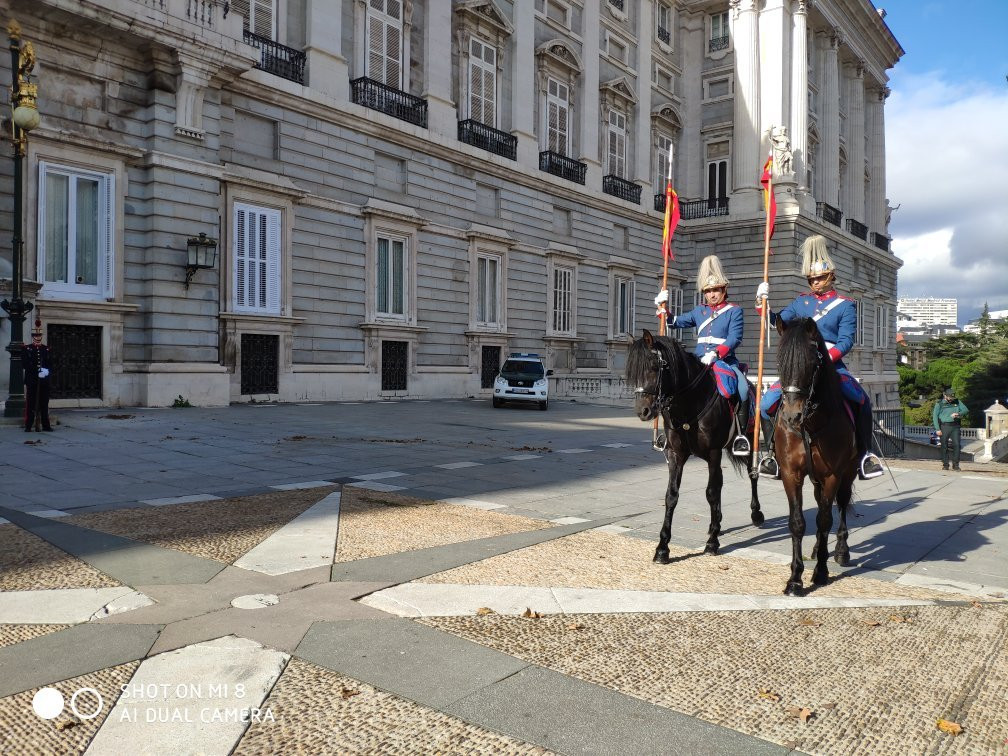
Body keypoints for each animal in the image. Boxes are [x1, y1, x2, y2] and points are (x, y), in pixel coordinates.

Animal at [626, 329, 764, 562]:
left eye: (654, 367)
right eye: (632, 370)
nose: (643, 411)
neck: (689, 401)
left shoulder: (714, 452)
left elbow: (711, 492)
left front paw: (712, 543)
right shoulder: (676, 454)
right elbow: (671, 496)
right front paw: (662, 547)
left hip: (746, 442)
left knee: (752, 474)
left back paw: (755, 514)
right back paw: (716, 523)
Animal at [772, 317, 857, 595]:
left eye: (811, 364)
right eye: (779, 361)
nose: (792, 416)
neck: (810, 425)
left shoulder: (833, 475)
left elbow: (824, 520)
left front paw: (820, 572)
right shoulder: (791, 474)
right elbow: (798, 523)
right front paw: (795, 579)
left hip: (847, 474)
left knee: (840, 505)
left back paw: (841, 551)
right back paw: (817, 550)